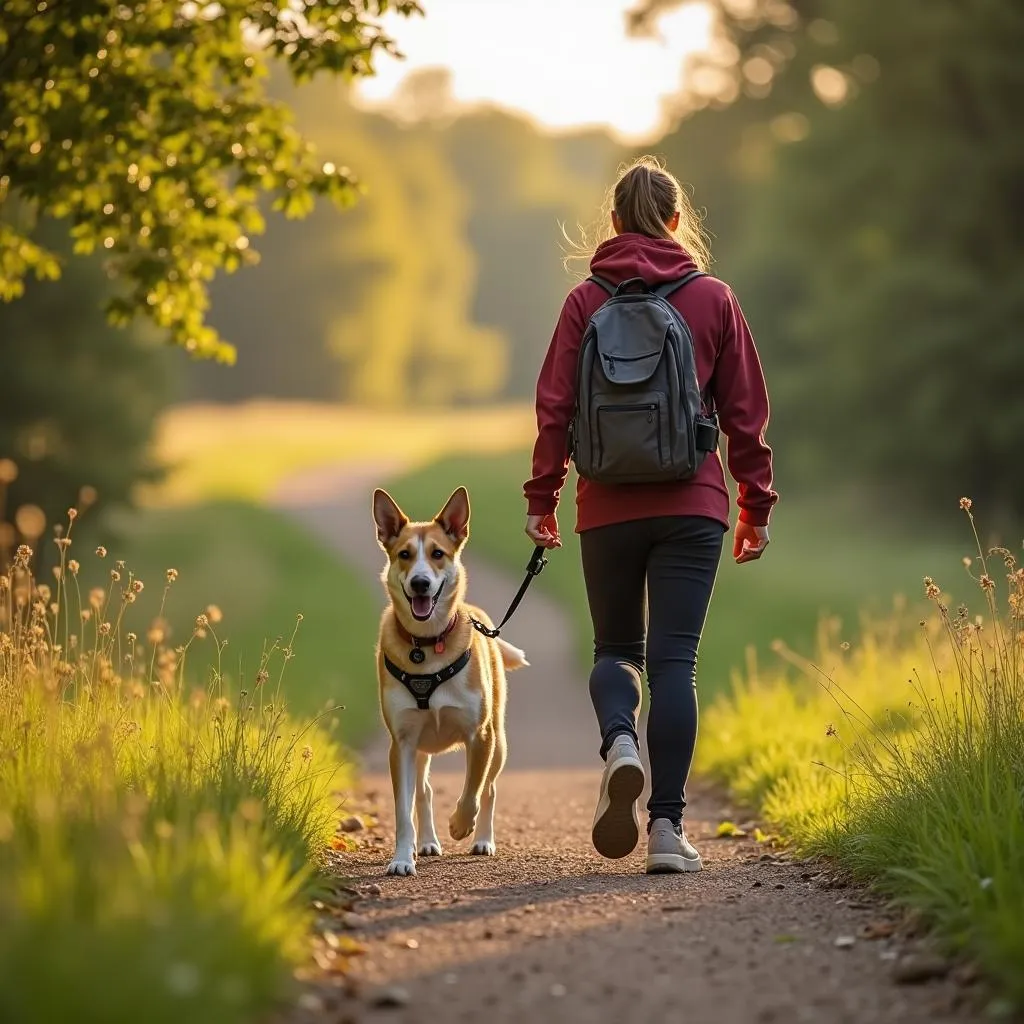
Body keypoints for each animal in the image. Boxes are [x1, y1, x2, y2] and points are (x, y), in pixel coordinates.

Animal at [372, 483, 528, 876]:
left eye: (438, 554)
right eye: (405, 554)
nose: (420, 583)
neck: (427, 645)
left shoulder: (480, 735)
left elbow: (472, 789)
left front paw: (460, 824)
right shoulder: (402, 743)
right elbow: (403, 809)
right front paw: (402, 858)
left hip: (499, 742)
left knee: (489, 788)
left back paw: (482, 839)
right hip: (420, 749)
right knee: (424, 792)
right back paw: (427, 842)